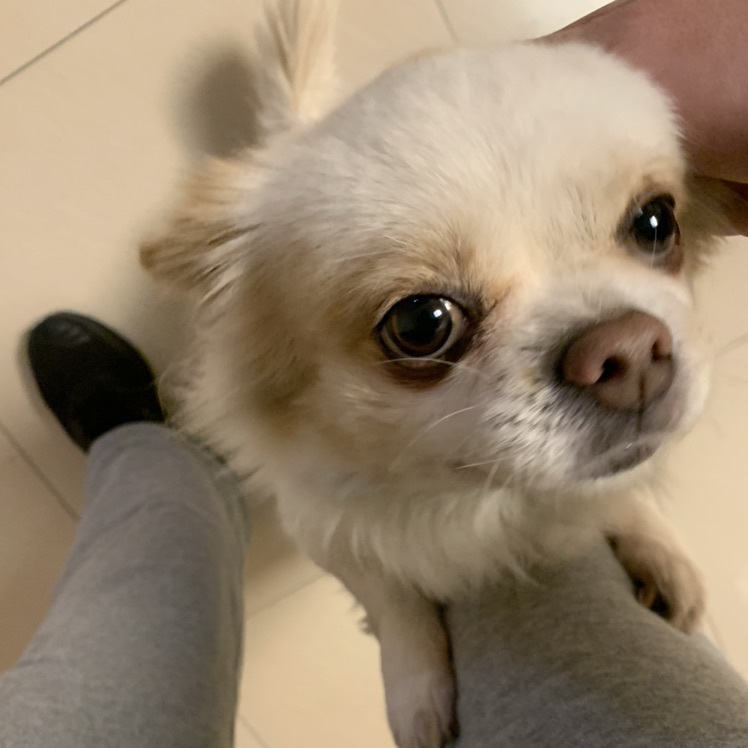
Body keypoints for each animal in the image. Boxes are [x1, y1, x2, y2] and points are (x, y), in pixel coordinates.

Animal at [141, 2, 727, 745]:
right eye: (422, 324)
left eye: (656, 222)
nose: (625, 351)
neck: (487, 500)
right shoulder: (325, 527)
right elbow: (391, 594)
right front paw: (416, 691)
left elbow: (624, 494)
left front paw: (657, 549)